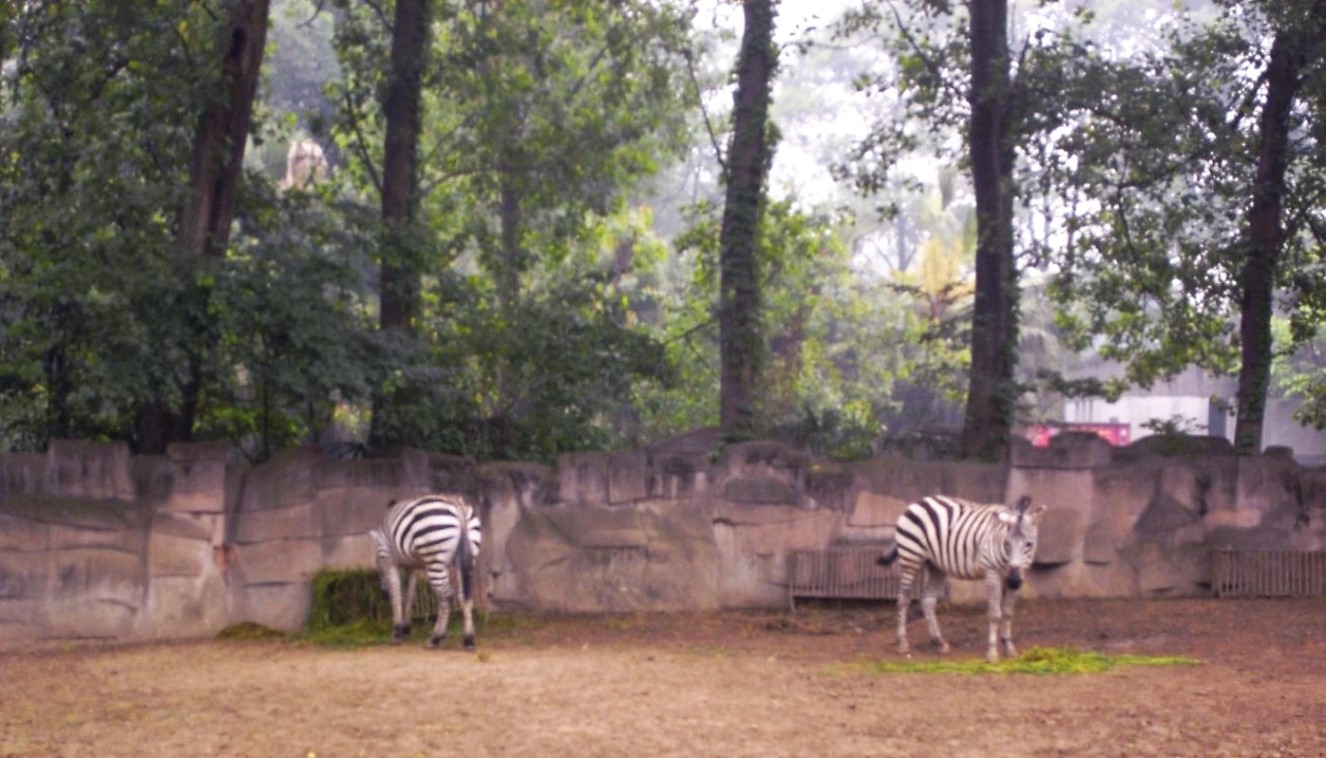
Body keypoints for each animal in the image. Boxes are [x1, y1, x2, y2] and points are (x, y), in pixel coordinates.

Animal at [368, 495, 482, 649]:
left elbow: (396, 594)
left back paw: (436, 637)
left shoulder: (388, 558)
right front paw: (406, 628)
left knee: (446, 596)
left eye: (378, 567)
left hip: (435, 559)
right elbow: (410, 595)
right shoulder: (414, 566)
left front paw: (397, 632)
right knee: (464, 595)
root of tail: (458, 506)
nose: (383, 593)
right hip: (467, 557)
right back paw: (468, 638)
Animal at [875, 495, 1050, 659]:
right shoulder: (992, 572)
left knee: (928, 599)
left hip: (936, 565)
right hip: (910, 558)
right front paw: (992, 653)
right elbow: (995, 614)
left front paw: (1009, 647)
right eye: (1006, 543)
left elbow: (1007, 613)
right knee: (903, 599)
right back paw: (902, 642)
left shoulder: (1019, 574)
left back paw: (939, 641)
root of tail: (919, 502)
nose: (1013, 581)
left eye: (1029, 544)